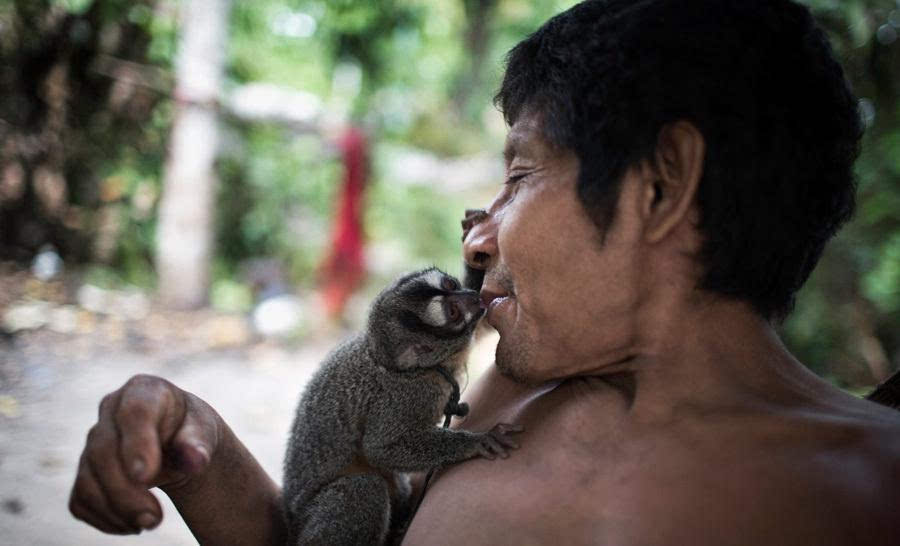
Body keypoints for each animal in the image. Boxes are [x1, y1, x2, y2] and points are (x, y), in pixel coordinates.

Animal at [282, 266, 520, 540]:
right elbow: (381, 448)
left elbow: (482, 324)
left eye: (450, 285)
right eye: (453, 313)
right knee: (364, 488)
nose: (473, 297)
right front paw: (476, 442)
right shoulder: (407, 396)